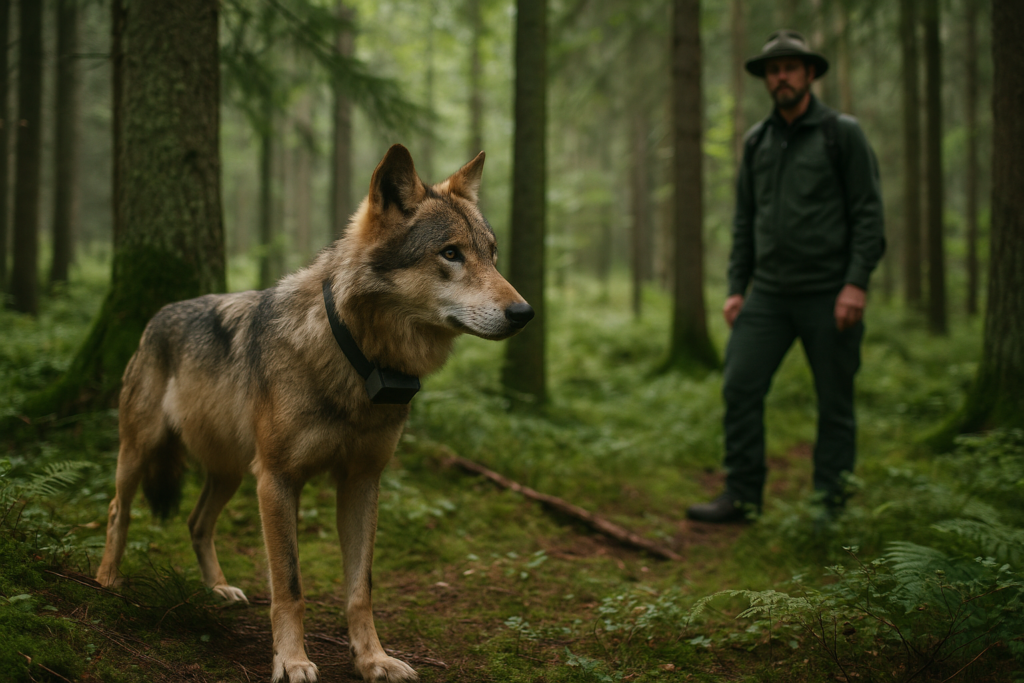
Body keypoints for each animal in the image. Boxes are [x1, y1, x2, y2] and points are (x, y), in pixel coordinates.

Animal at [95, 145, 533, 682]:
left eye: (491, 254)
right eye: (451, 253)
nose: (525, 313)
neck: (357, 358)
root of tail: (156, 315)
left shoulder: (363, 480)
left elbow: (360, 589)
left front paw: (373, 659)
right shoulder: (278, 479)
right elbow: (290, 586)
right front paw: (292, 661)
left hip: (232, 472)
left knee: (197, 522)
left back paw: (218, 589)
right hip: (145, 452)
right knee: (118, 509)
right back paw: (108, 580)